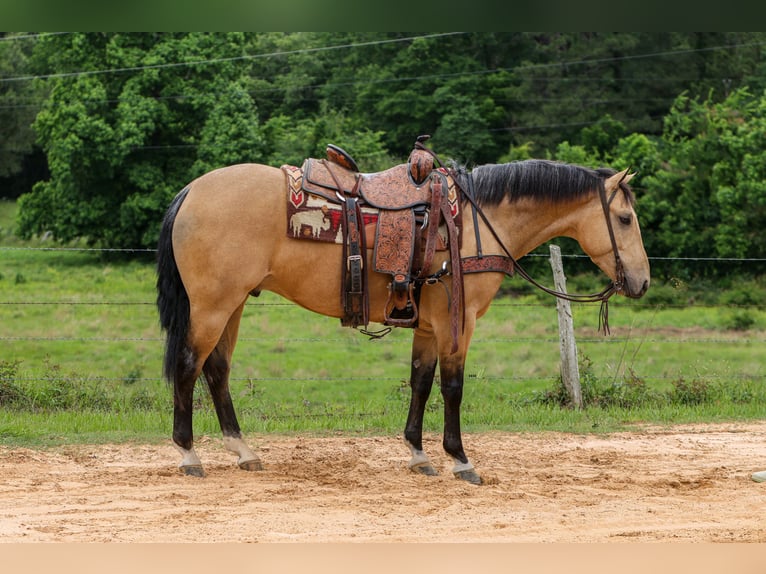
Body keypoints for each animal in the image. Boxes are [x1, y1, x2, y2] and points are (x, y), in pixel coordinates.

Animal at [156, 157, 650, 484]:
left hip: (233, 304)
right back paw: (188, 455)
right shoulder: (457, 323)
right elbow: (452, 388)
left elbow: (421, 382)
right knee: (188, 366)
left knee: (217, 370)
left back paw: (243, 451)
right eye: (625, 218)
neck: (472, 225)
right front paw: (460, 460)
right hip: (213, 306)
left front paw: (418, 454)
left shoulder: (429, 327)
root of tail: (191, 191)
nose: (642, 281)